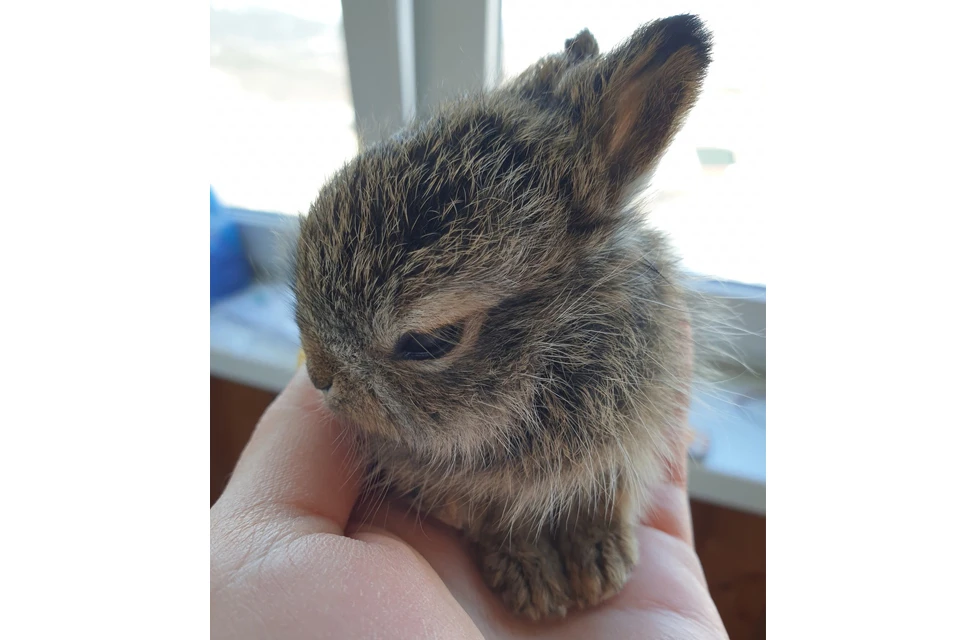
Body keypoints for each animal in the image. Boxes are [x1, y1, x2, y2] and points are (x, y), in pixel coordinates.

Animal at [296, 13, 716, 620]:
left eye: (432, 341)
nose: (318, 374)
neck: (551, 360)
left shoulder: (629, 443)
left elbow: (606, 499)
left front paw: (599, 563)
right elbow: (497, 523)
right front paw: (533, 579)